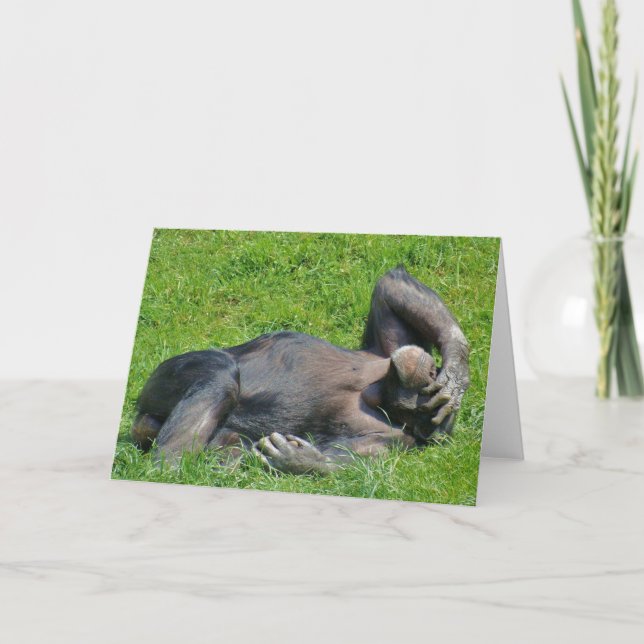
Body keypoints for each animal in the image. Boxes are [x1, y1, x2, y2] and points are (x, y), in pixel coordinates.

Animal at [130, 266, 470, 475]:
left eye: (419, 401)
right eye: (424, 388)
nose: (426, 374)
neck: (376, 394)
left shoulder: (392, 443)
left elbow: (349, 461)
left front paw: (300, 460)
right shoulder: (388, 350)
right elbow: (390, 288)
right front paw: (456, 371)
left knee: (219, 381)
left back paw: (167, 469)